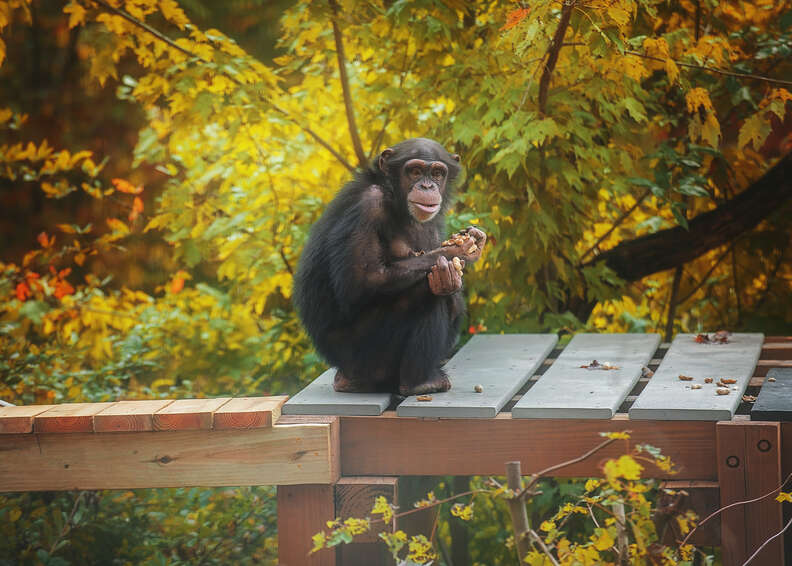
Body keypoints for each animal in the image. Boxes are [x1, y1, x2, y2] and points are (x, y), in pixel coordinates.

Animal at [294, 139, 486, 394]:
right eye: (415, 171)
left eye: (437, 173)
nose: (427, 186)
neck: (395, 199)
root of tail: (343, 373)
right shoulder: (368, 205)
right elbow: (362, 280)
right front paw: (457, 250)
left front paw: (474, 240)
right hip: (368, 354)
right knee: (430, 290)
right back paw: (420, 382)